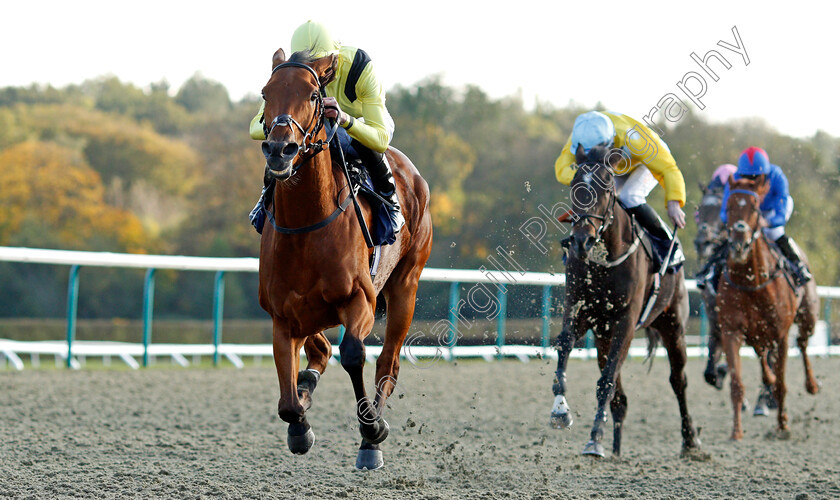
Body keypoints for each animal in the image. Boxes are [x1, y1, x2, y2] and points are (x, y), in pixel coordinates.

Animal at [258, 48, 434, 470]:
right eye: (265, 92)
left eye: (313, 96)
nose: (279, 149)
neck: (306, 226)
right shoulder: (282, 315)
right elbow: (288, 400)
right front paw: (299, 425)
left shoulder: (361, 299)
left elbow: (353, 353)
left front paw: (372, 429)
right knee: (320, 351)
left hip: (405, 286)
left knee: (387, 364)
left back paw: (371, 442)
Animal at [552, 145, 704, 458]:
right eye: (574, 186)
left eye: (607, 186)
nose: (582, 241)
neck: (604, 261)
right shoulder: (582, 311)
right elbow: (565, 344)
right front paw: (561, 411)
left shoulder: (626, 321)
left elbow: (607, 381)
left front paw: (594, 438)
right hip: (603, 336)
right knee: (619, 397)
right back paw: (616, 447)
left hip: (674, 326)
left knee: (678, 381)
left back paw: (690, 440)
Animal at [716, 178, 820, 440]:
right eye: (729, 205)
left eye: (755, 207)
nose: (739, 243)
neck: (751, 281)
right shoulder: (731, 330)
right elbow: (736, 384)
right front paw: (736, 431)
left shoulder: (781, 334)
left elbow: (782, 384)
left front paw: (783, 425)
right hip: (756, 332)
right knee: (761, 353)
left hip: (807, 316)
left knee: (802, 343)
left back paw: (812, 384)